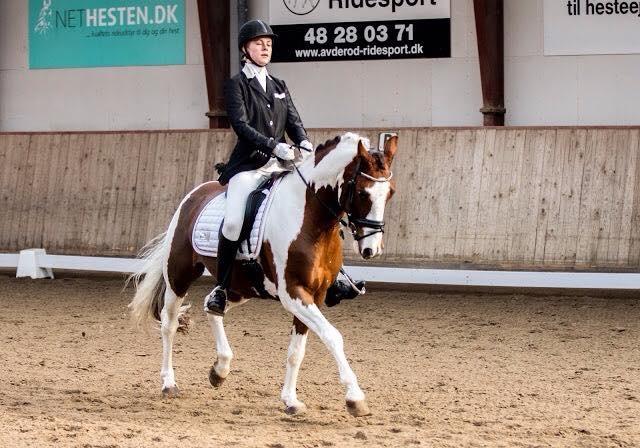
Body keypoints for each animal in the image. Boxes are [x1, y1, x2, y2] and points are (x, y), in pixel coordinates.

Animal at [128, 132, 397, 416]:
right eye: (362, 192)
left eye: (390, 192)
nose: (371, 249)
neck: (310, 219)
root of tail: (195, 193)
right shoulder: (293, 293)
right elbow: (333, 337)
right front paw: (355, 398)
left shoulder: (314, 294)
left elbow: (296, 351)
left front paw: (291, 400)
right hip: (179, 275)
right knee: (169, 324)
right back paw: (169, 383)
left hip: (241, 286)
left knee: (212, 305)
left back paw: (220, 369)